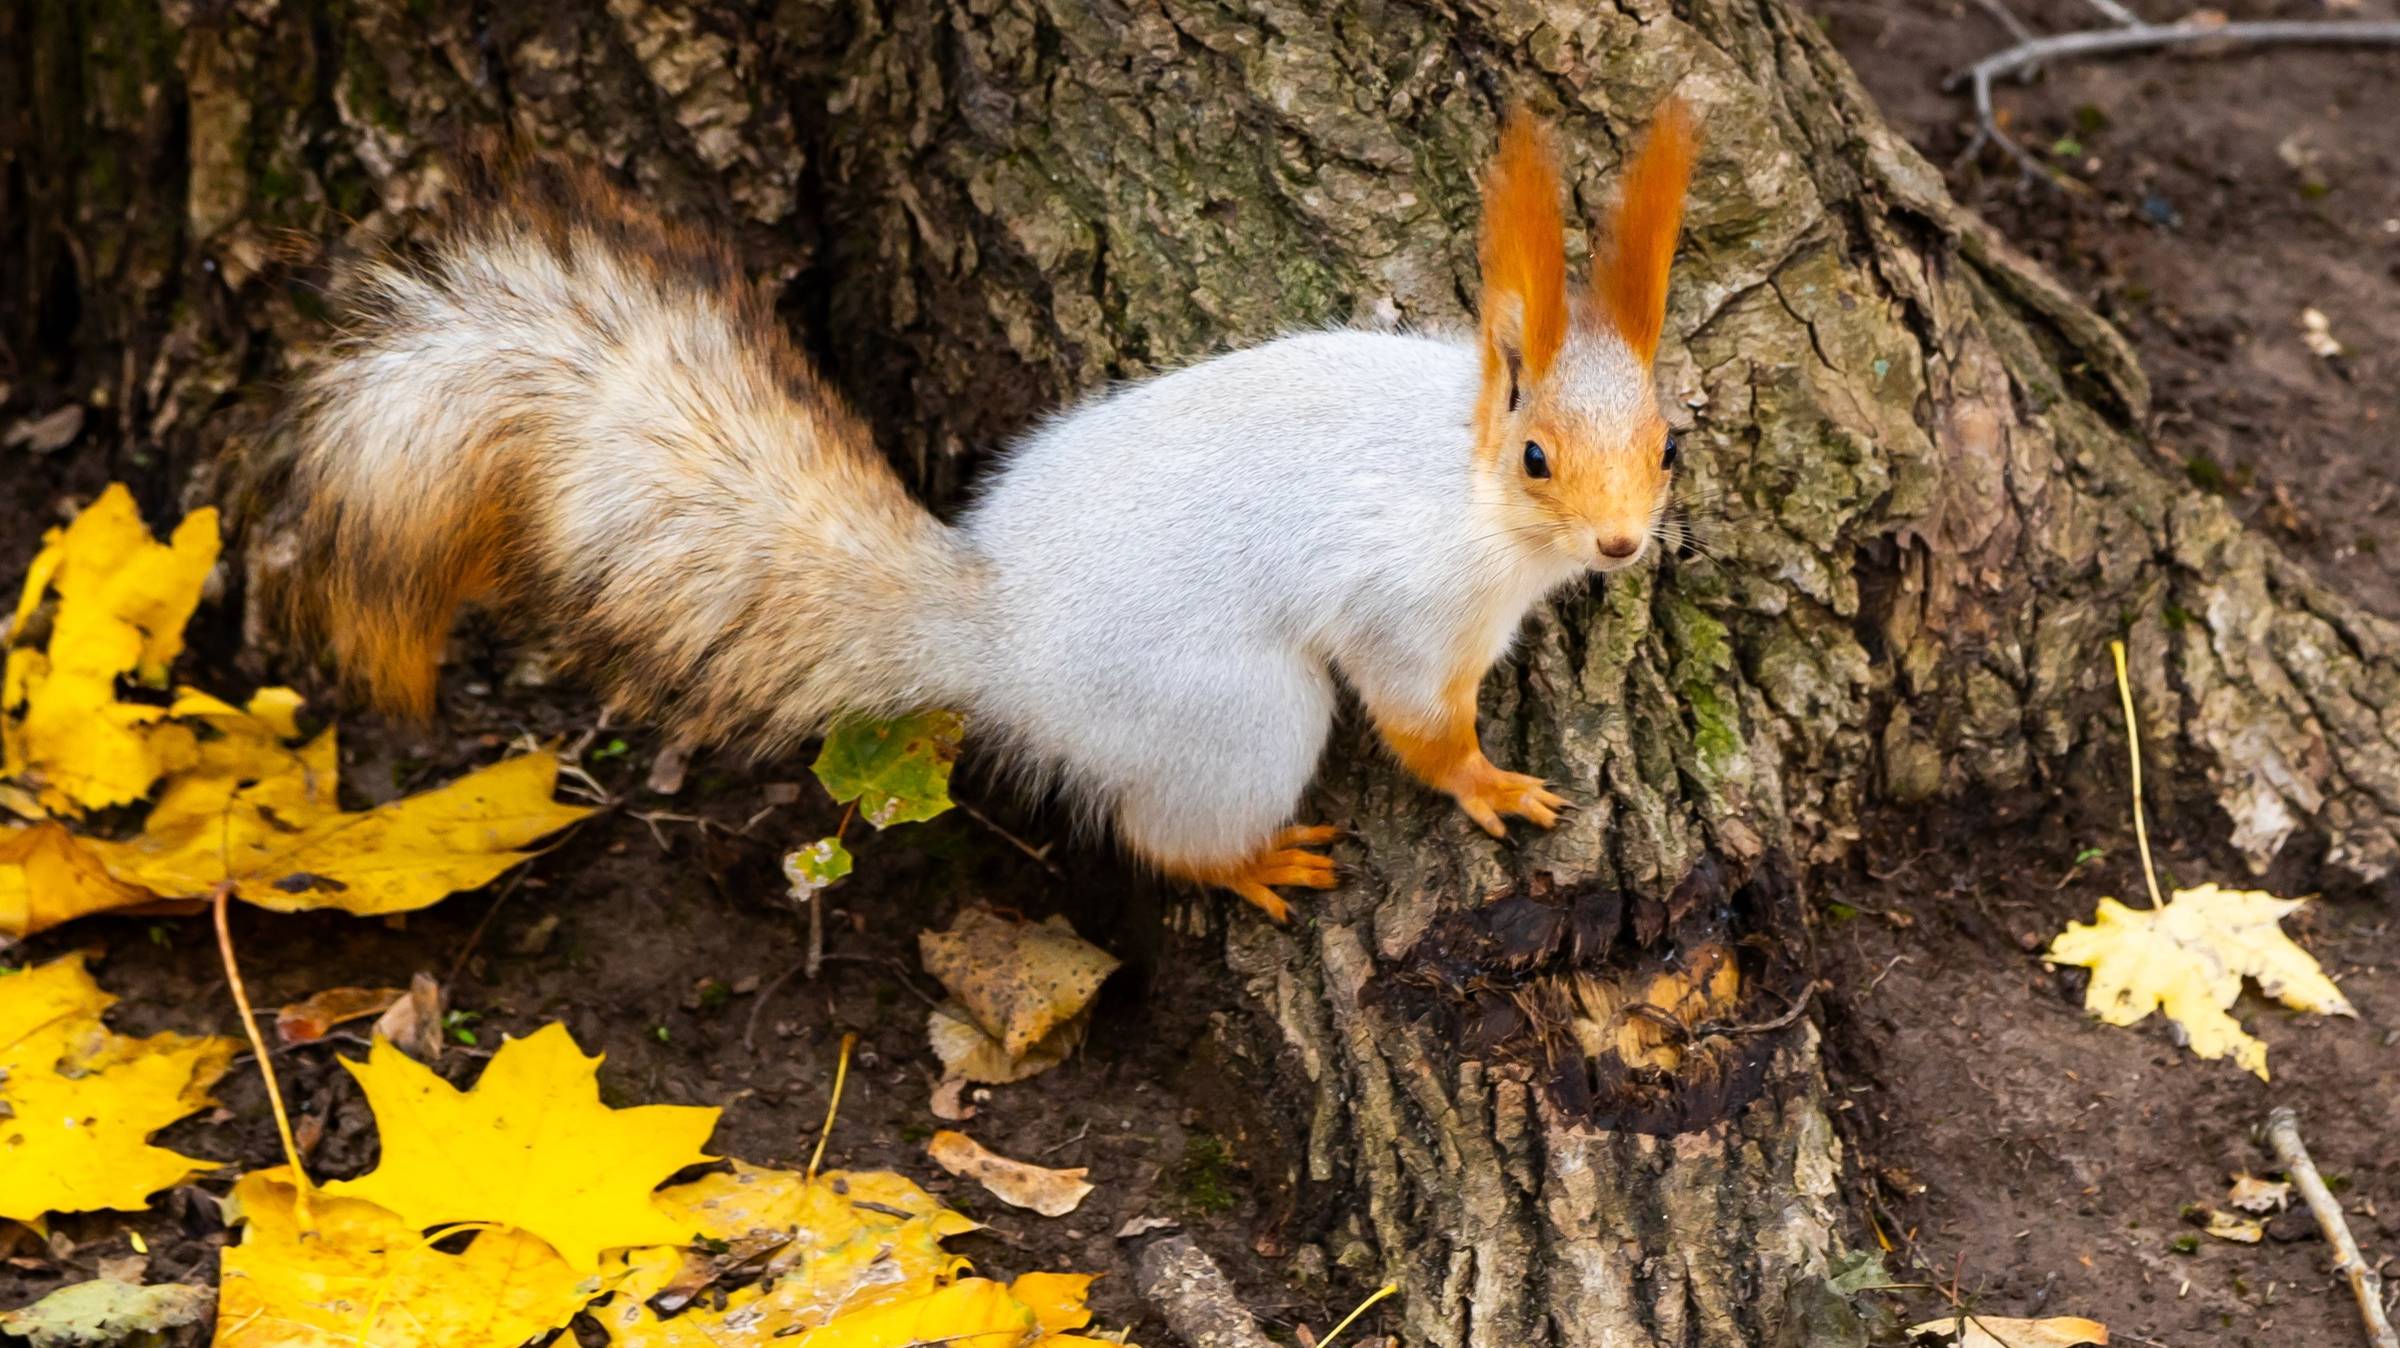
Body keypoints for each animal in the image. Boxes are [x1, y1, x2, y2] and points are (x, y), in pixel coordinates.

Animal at [280, 104, 1699, 916]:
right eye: (1536, 457)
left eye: (1669, 444)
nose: (1624, 543)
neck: (1461, 476)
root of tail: (998, 637)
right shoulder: (1408, 598)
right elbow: (1416, 717)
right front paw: (1486, 781)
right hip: (1234, 716)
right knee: (1159, 831)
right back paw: (1250, 863)